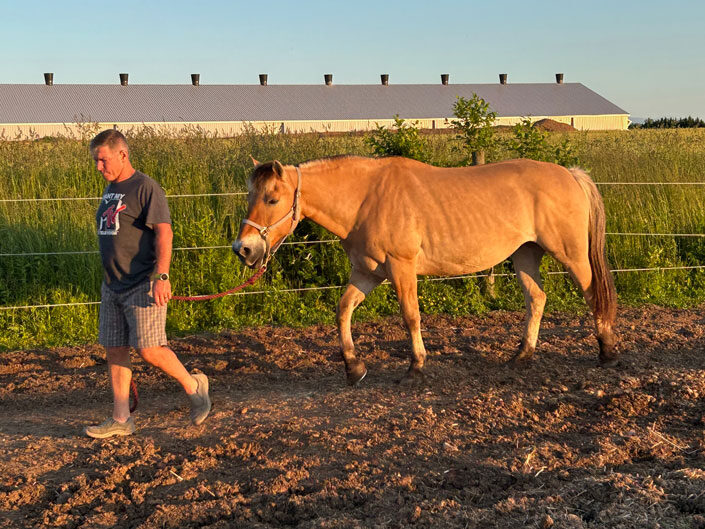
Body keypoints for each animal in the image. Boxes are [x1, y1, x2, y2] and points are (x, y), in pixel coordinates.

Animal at [232, 154, 616, 384]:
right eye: (250, 197)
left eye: (272, 199)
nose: (244, 249)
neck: (366, 199)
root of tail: (570, 174)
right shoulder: (367, 274)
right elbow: (342, 311)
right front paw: (354, 368)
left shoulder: (401, 268)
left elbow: (410, 316)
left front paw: (415, 366)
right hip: (525, 255)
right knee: (537, 300)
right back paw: (522, 356)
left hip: (570, 254)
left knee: (592, 293)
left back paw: (607, 351)